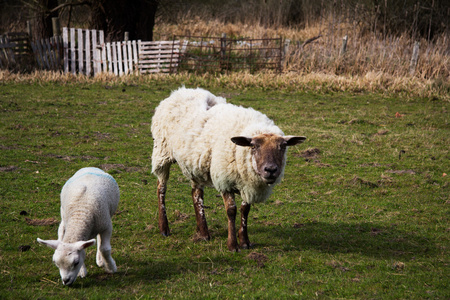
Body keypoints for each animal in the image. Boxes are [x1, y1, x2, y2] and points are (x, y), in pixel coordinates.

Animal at [151, 87, 306, 251]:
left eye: (283, 146)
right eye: (254, 146)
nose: (270, 170)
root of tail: (181, 91)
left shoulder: (247, 184)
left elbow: (245, 210)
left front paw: (244, 241)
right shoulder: (224, 180)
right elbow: (231, 210)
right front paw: (232, 245)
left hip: (193, 163)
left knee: (196, 194)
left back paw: (203, 232)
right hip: (161, 152)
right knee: (161, 188)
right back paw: (164, 228)